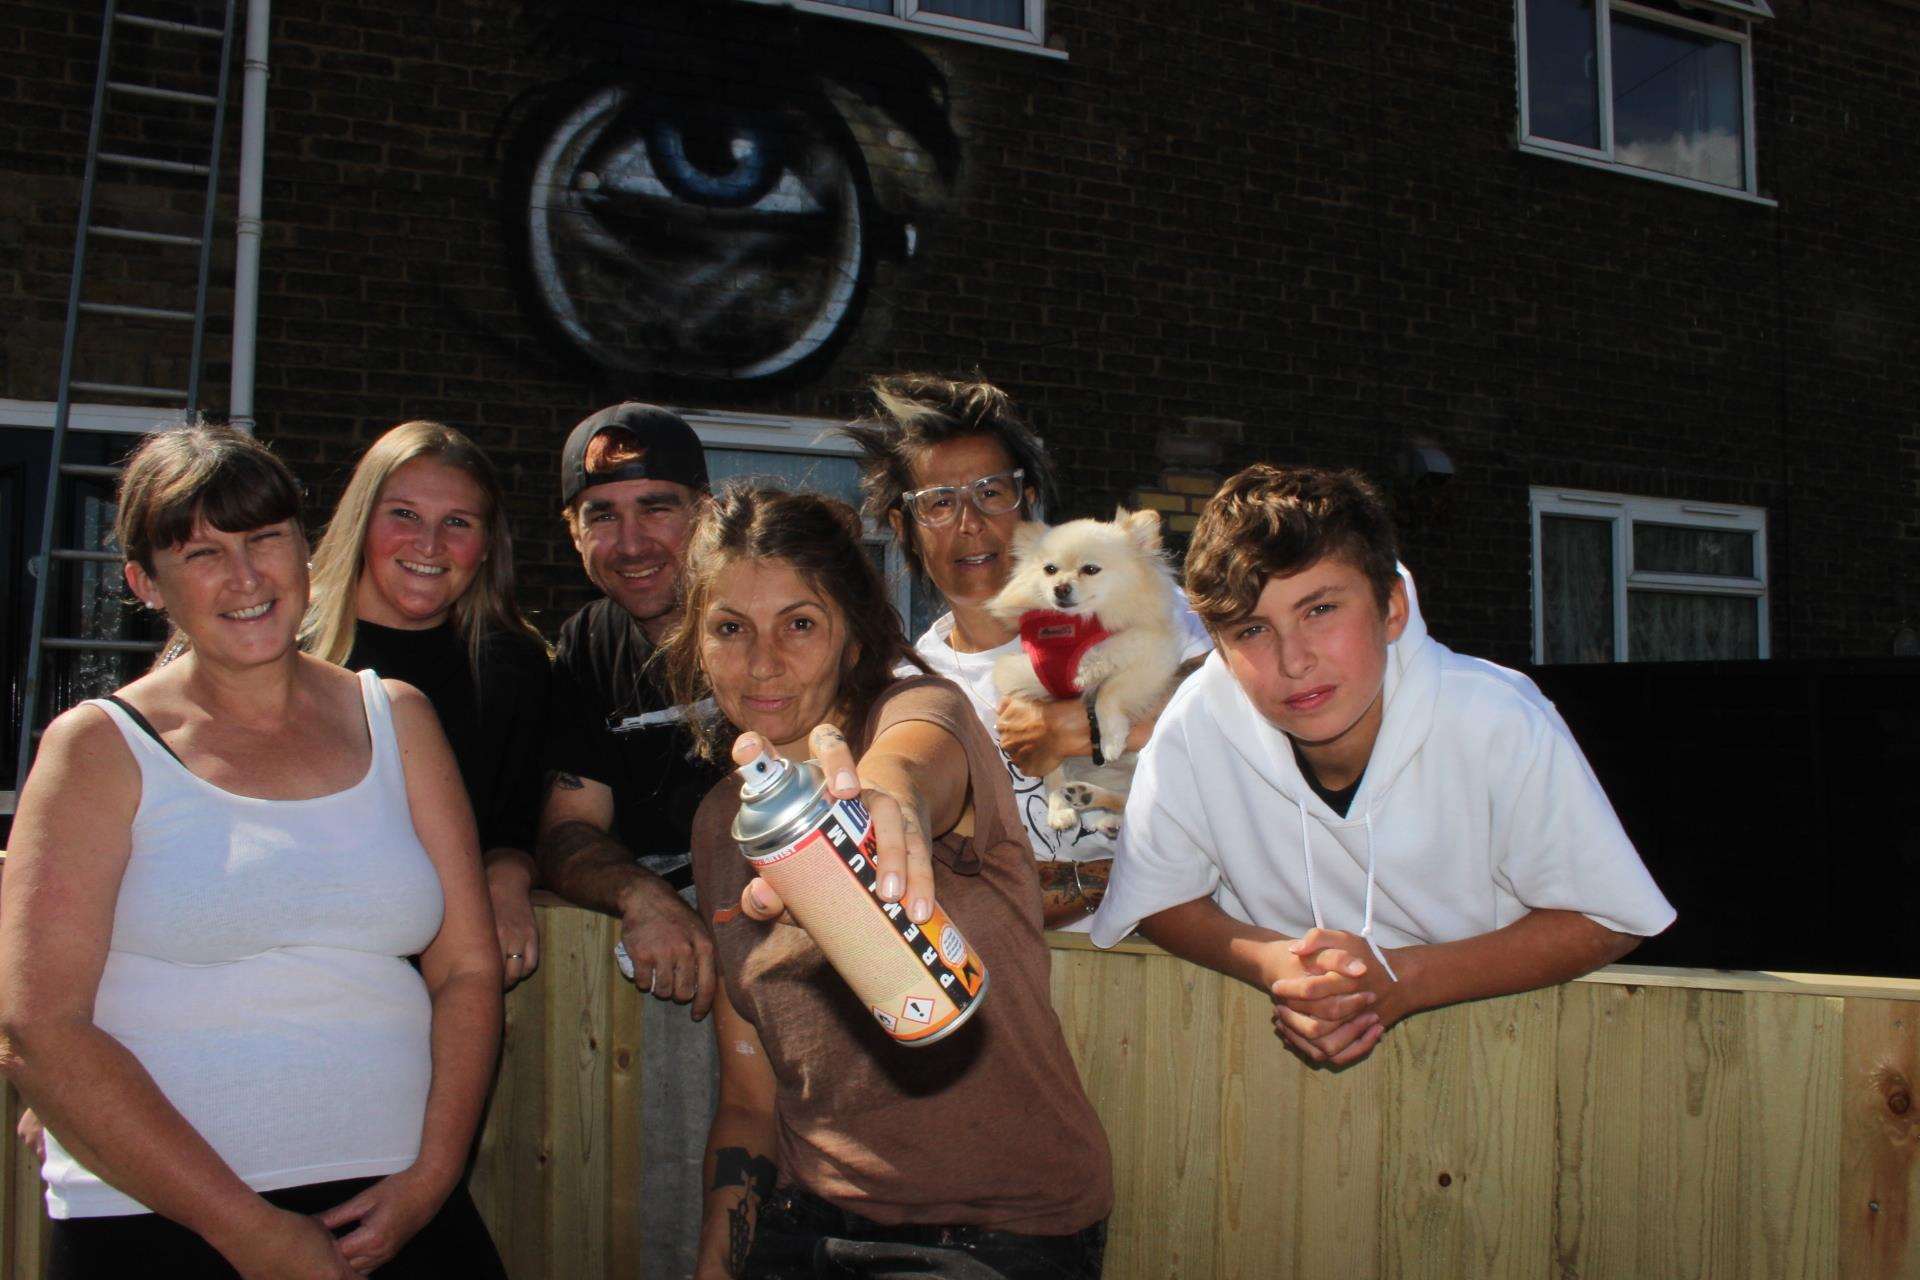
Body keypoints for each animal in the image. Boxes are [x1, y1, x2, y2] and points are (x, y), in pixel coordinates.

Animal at [990, 510, 1182, 840]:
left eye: (1090, 569)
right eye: (1050, 570)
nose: (1061, 587)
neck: (1075, 629)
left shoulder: (1151, 658)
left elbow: (1108, 691)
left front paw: (1111, 740)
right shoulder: (1028, 687)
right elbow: (1053, 771)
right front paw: (1058, 810)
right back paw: (1093, 804)